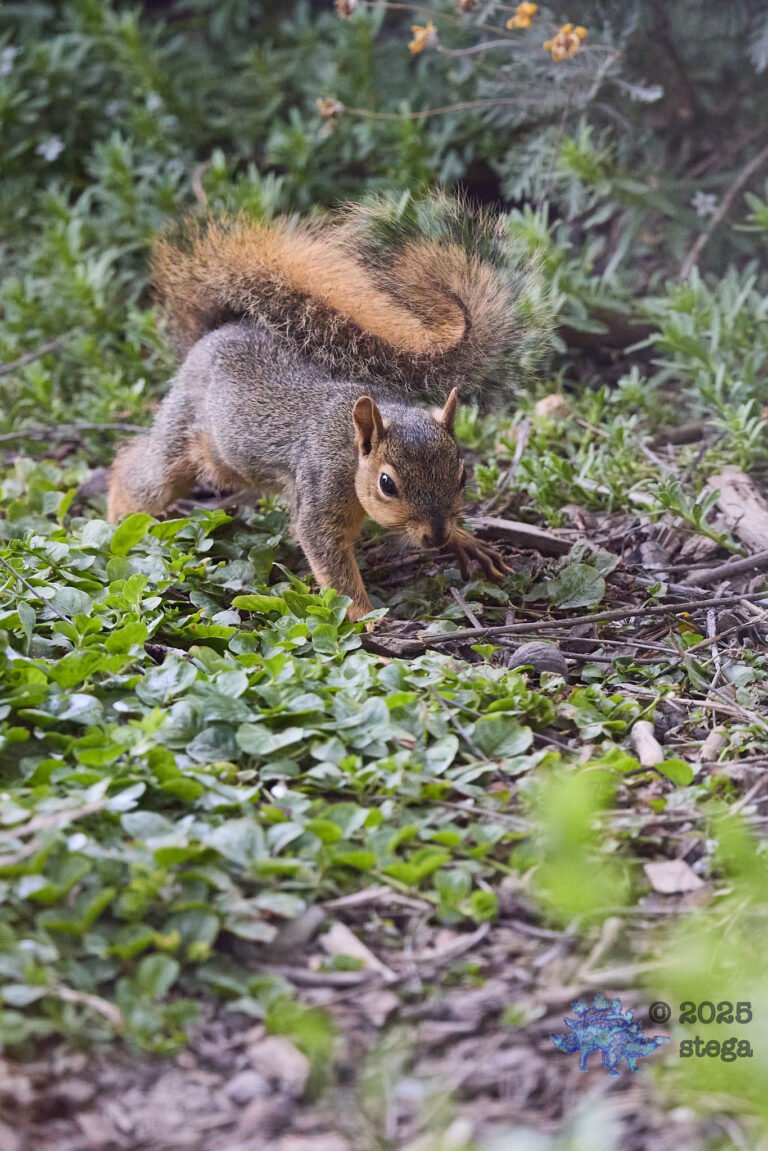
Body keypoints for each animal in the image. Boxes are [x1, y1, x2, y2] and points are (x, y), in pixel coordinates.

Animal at [107, 191, 552, 622]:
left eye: (462, 476)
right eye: (387, 484)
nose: (437, 535)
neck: (350, 449)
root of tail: (216, 332)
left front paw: (466, 541)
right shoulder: (320, 488)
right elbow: (328, 557)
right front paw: (365, 616)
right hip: (188, 437)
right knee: (138, 471)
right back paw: (118, 519)